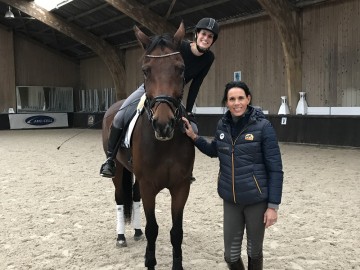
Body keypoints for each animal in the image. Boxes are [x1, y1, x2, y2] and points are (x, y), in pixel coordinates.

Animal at [102, 22, 194, 268]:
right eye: (146, 70)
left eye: (181, 68)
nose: (163, 125)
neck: (164, 145)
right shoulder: (149, 186)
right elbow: (153, 228)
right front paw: (150, 261)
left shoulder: (181, 187)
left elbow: (176, 232)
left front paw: (177, 264)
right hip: (118, 169)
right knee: (119, 197)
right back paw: (121, 236)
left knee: (133, 198)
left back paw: (135, 232)